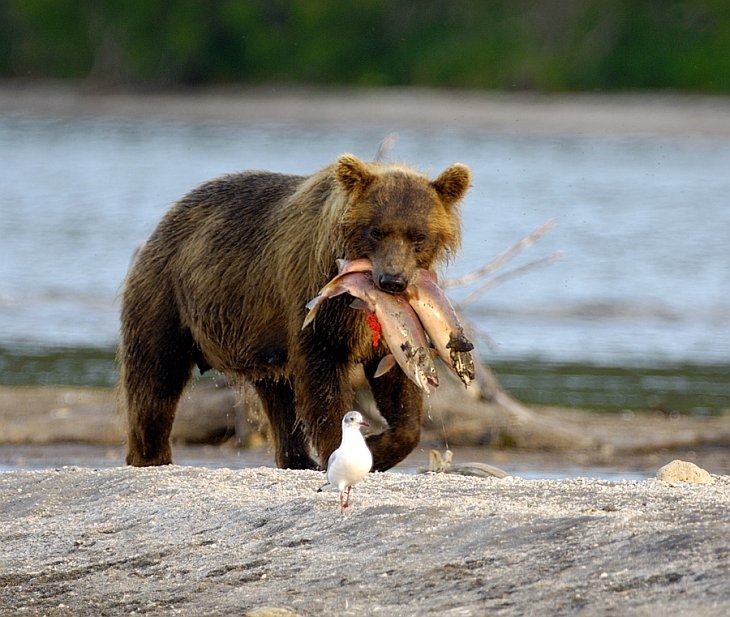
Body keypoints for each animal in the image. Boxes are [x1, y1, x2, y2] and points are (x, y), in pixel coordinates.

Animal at [120, 152, 470, 470]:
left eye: (418, 236)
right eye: (376, 231)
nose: (392, 281)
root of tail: (167, 218)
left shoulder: (391, 328)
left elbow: (398, 392)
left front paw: (379, 446)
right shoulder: (317, 296)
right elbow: (322, 377)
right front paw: (343, 449)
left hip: (261, 339)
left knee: (279, 398)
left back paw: (297, 459)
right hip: (167, 297)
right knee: (155, 379)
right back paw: (150, 456)